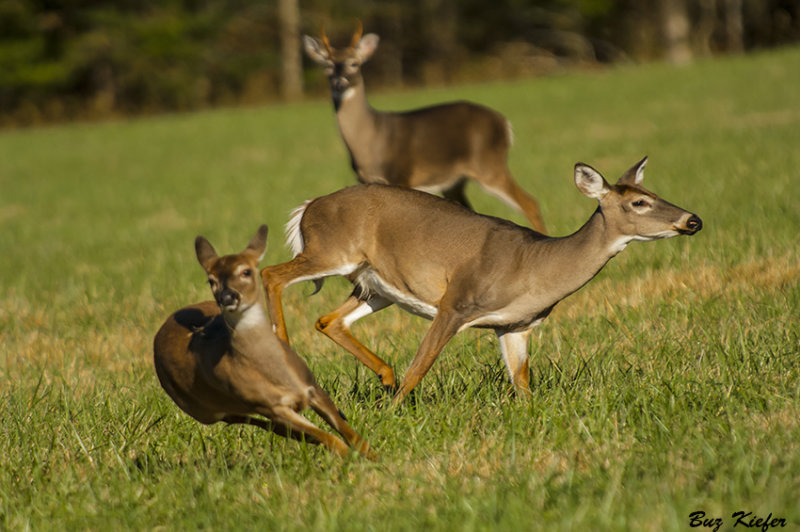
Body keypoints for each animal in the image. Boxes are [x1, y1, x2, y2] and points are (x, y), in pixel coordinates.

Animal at [155, 223, 376, 458]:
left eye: (246, 271)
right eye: (211, 280)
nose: (228, 297)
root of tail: (164, 326)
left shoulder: (311, 386)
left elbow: (346, 431)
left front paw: (373, 456)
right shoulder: (271, 406)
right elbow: (328, 437)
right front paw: (349, 455)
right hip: (203, 410)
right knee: (248, 420)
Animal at [260, 156, 700, 406]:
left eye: (652, 191)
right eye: (638, 202)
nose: (692, 219)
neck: (536, 266)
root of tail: (307, 208)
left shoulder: (515, 325)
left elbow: (523, 385)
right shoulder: (457, 302)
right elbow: (419, 368)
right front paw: (394, 413)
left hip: (374, 286)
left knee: (327, 320)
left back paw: (382, 375)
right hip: (332, 251)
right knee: (271, 273)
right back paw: (282, 346)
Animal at [304, 21, 548, 233]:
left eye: (354, 63)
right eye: (327, 66)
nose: (340, 83)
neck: (371, 140)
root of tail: (504, 123)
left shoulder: (401, 175)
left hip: (489, 165)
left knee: (531, 203)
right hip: (456, 180)